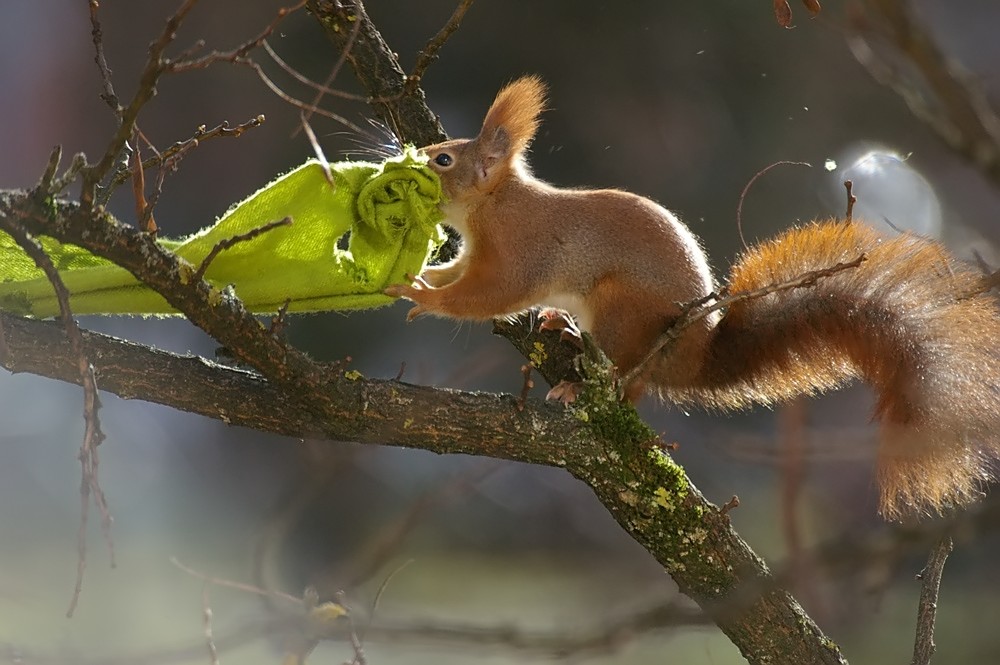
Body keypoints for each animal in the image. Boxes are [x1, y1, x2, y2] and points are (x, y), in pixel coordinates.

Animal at [386, 74, 1000, 520]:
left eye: (443, 160)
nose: (404, 159)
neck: (495, 204)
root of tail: (690, 359)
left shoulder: (520, 255)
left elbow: (489, 297)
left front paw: (422, 295)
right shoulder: (476, 255)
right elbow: (456, 272)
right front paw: (420, 279)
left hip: (621, 308)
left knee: (630, 384)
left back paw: (580, 380)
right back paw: (566, 330)